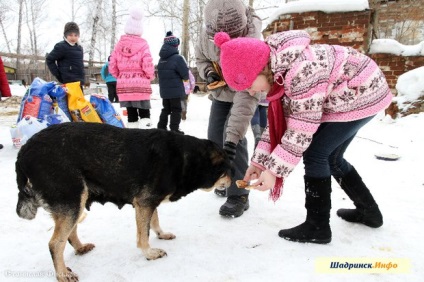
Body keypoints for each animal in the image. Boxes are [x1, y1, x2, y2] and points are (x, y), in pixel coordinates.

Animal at [15, 122, 232, 280]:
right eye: (227, 170)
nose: (233, 180)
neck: (187, 159)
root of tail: (23, 152)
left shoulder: (149, 201)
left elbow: (154, 221)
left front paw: (161, 234)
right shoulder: (145, 202)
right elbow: (143, 234)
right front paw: (149, 253)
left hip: (76, 200)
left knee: (69, 233)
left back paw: (80, 248)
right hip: (72, 198)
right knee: (55, 243)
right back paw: (62, 274)